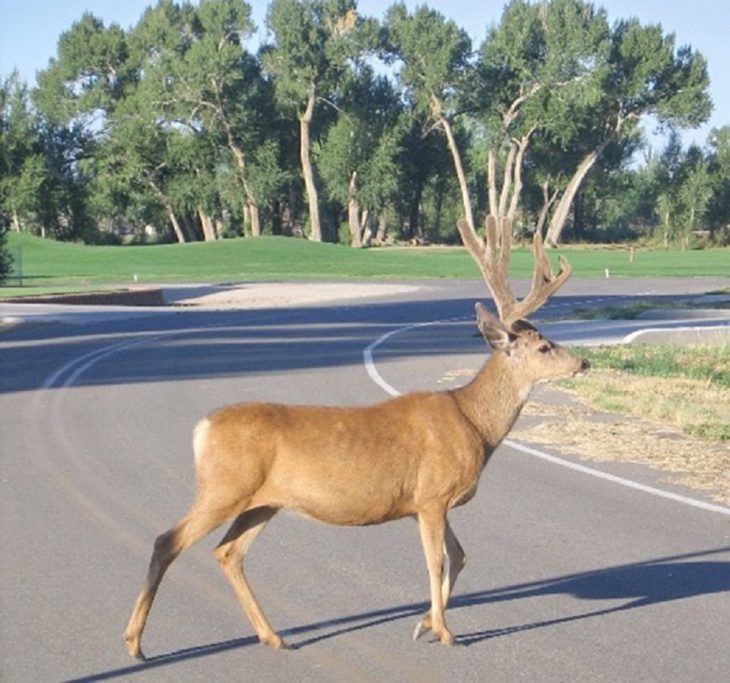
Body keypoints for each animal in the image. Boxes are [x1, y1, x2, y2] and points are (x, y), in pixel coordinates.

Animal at [121, 216, 584, 660]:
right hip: (224, 487)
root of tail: (202, 428)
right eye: (544, 347)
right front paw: (446, 632)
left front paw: (424, 625)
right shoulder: (432, 495)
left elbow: (460, 557)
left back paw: (273, 637)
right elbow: (436, 562)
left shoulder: (425, 503)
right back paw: (135, 643)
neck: (474, 423)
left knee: (228, 552)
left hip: (262, 501)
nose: (583, 362)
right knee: (168, 541)